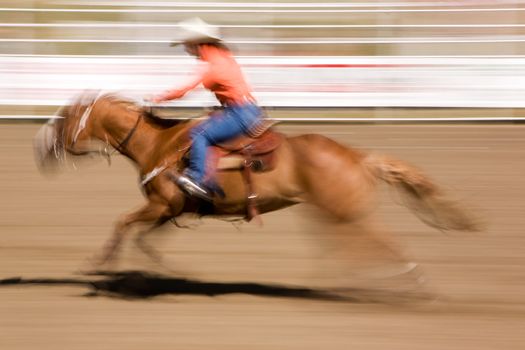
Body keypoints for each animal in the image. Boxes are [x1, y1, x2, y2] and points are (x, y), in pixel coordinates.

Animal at [33, 93, 478, 274]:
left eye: (65, 118)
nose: (39, 149)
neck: (158, 144)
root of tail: (358, 155)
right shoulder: (173, 209)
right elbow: (144, 238)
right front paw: (163, 270)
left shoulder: (160, 206)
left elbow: (123, 223)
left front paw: (101, 264)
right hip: (333, 213)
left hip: (343, 211)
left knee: (379, 243)